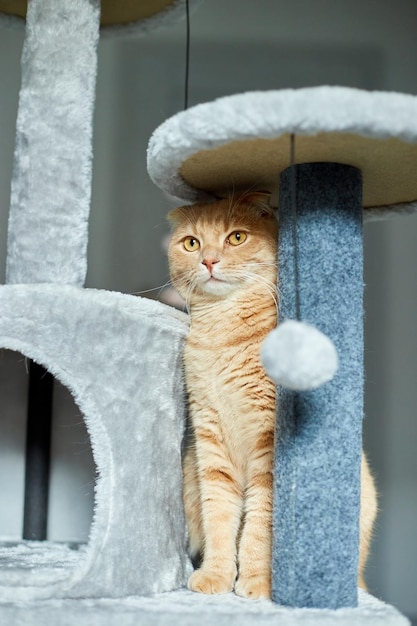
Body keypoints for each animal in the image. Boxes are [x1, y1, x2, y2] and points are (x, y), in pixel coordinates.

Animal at [166, 191, 376, 600]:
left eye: (236, 237)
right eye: (192, 243)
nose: (208, 260)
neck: (224, 337)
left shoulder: (269, 448)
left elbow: (259, 526)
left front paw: (258, 582)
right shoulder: (210, 440)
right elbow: (219, 517)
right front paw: (216, 575)